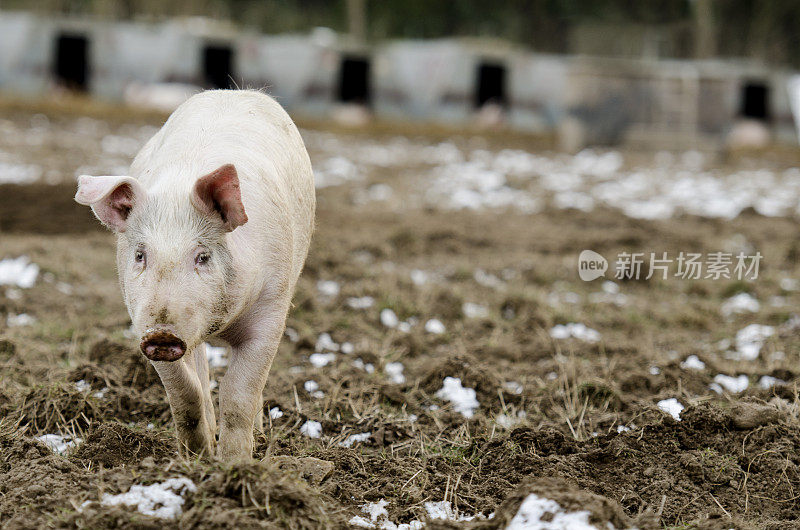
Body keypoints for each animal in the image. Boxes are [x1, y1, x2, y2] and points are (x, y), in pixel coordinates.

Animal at [73, 88, 314, 456]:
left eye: (202, 256)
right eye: (140, 255)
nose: (162, 334)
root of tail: (236, 91)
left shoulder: (272, 310)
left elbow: (239, 394)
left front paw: (235, 462)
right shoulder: (141, 322)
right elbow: (184, 392)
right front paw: (197, 455)